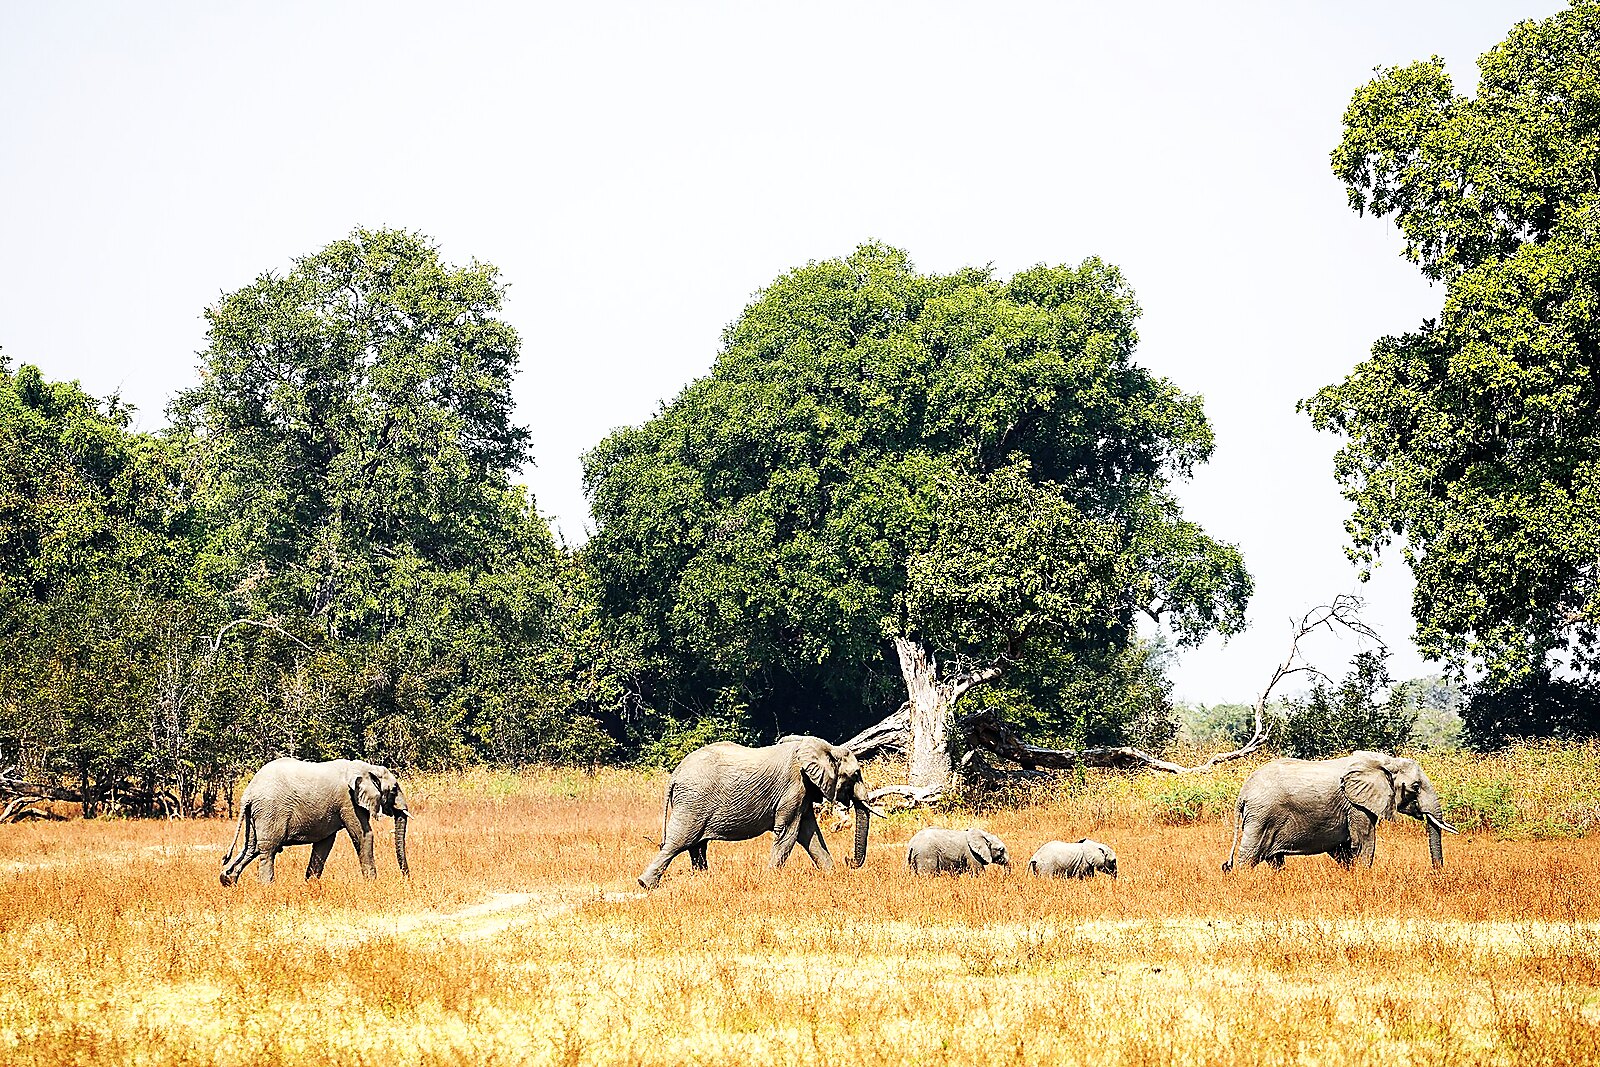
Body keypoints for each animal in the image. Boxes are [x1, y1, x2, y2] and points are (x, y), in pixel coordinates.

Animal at [220, 758, 410, 886]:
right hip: (270, 811)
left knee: (251, 847)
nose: (406, 879)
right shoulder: (348, 801)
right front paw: (372, 884)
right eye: (394, 789)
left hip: (256, 813)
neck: (365, 768)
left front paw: (310, 885)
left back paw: (227, 880)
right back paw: (267, 887)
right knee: (267, 849)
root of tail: (248, 793)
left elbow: (324, 844)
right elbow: (363, 835)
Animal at [637, 736, 882, 890]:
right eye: (856, 774)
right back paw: (645, 885)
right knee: (679, 842)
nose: (848, 860)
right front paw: (770, 879)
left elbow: (809, 833)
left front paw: (832, 874)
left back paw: (703, 879)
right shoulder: (793, 787)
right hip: (693, 802)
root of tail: (675, 774)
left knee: (696, 845)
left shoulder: (803, 792)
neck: (826, 748)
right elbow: (789, 833)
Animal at [1223, 751, 1457, 872]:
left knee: (1275, 860)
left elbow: (1343, 848)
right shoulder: (1355, 804)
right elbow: (1363, 841)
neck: (1384, 761)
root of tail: (1243, 792)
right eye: (1415, 787)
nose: (1437, 874)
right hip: (1261, 815)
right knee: (1249, 854)